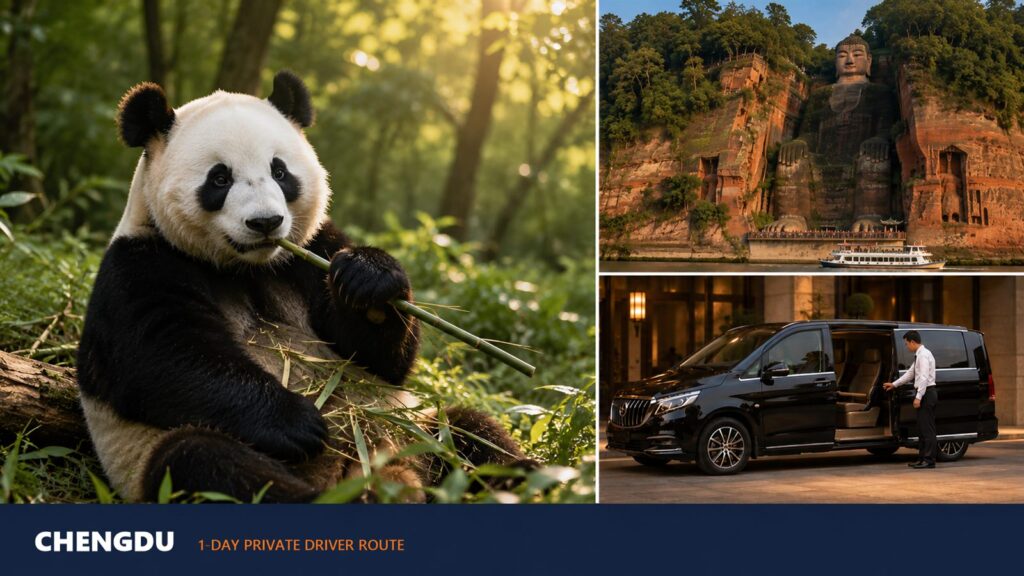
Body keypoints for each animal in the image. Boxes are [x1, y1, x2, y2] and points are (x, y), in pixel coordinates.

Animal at [76, 71, 530, 503]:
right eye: (219, 179)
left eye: (280, 172)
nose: (265, 223)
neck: (248, 268)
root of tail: (395, 473)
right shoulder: (141, 264)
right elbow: (164, 356)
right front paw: (298, 421)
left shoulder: (311, 251)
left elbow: (380, 360)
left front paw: (369, 280)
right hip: (159, 454)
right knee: (206, 463)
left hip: (414, 430)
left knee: (471, 432)